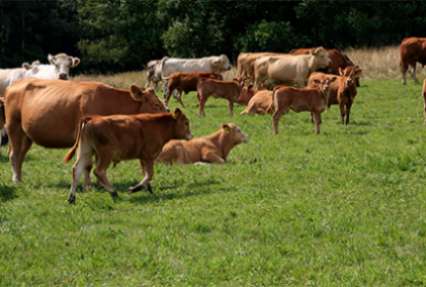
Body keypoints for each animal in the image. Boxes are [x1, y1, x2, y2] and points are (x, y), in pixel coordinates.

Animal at [4, 79, 165, 182]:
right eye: (156, 104)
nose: (167, 114)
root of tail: (14, 84)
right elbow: (87, 164)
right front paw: (88, 186)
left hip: (26, 135)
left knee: (21, 155)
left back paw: (20, 178)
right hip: (13, 126)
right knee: (14, 155)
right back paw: (16, 180)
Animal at [63, 108, 191, 205]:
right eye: (186, 122)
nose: (190, 135)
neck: (158, 126)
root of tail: (92, 118)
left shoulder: (142, 158)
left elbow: (146, 174)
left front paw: (147, 188)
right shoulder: (148, 156)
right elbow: (149, 174)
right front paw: (134, 188)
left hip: (85, 151)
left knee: (77, 170)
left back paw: (71, 198)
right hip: (105, 154)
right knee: (99, 171)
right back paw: (113, 192)